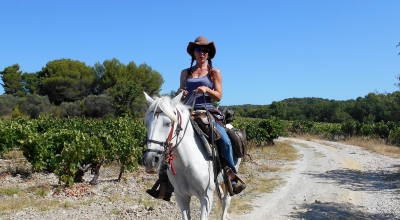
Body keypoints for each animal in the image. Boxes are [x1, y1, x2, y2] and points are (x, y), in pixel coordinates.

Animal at [143, 92, 241, 220]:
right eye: (147, 124)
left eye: (168, 123)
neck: (186, 164)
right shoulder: (181, 196)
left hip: (228, 179)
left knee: (226, 200)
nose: (150, 161)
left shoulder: (206, 197)